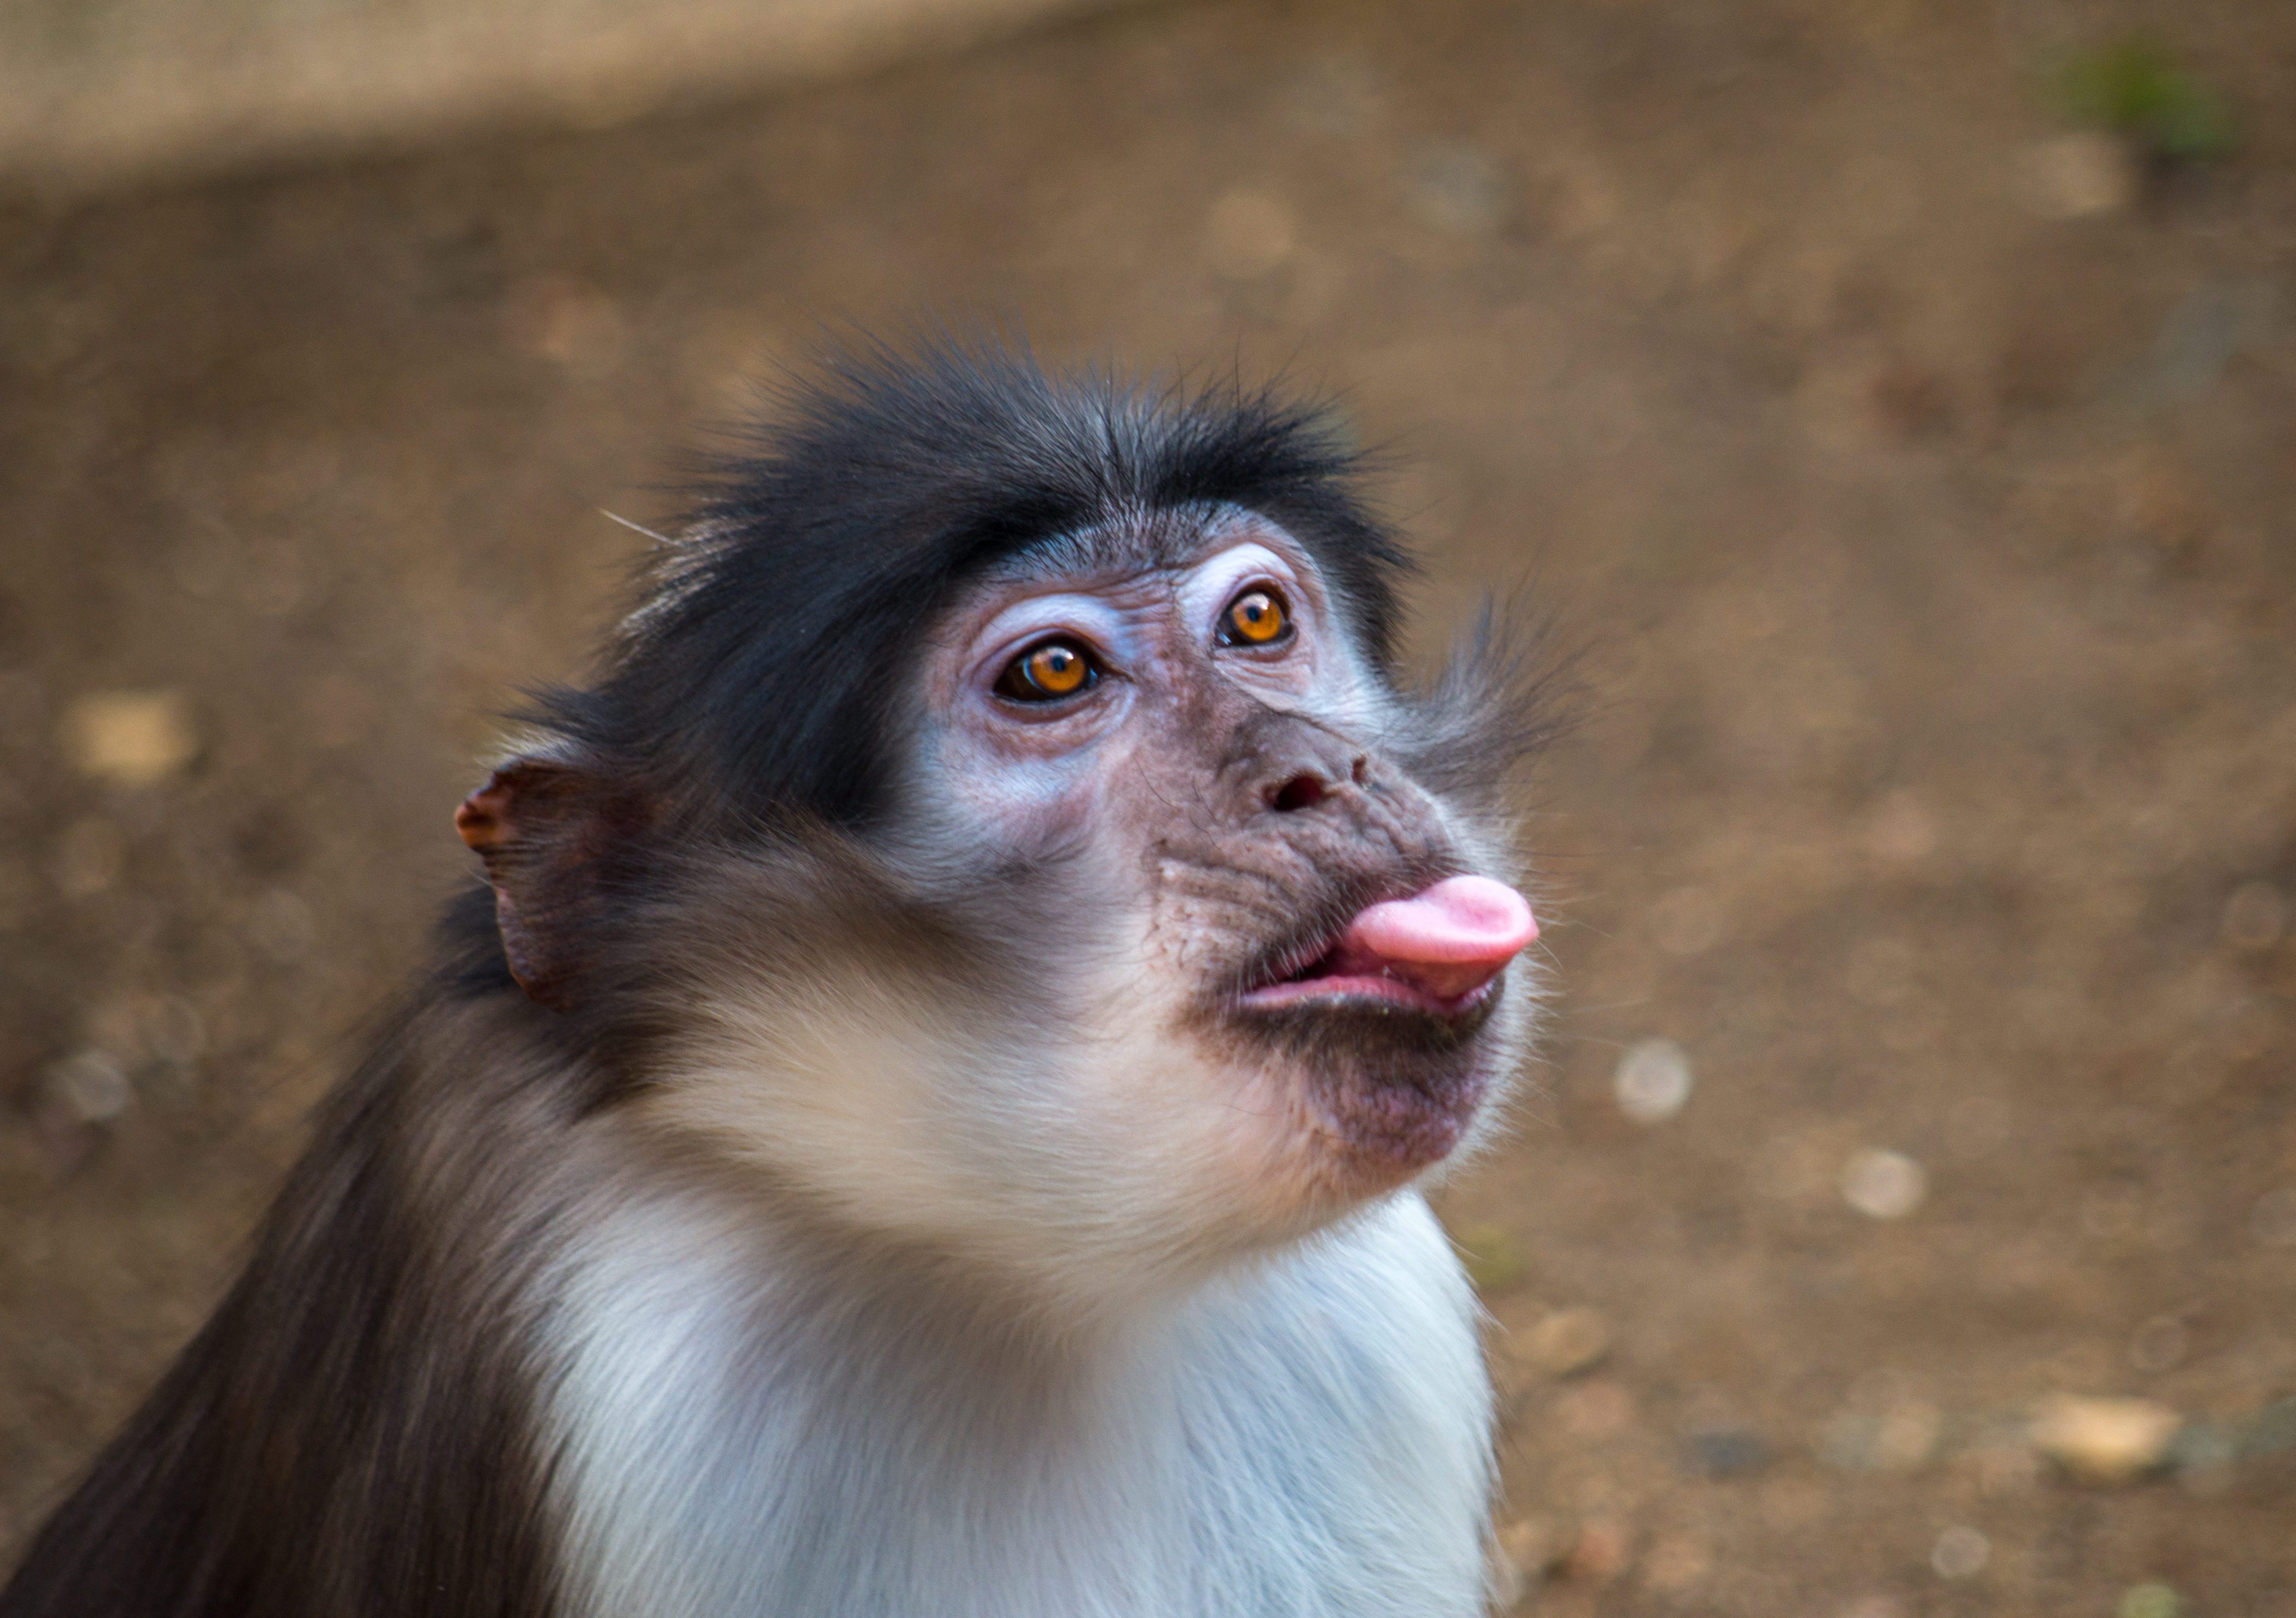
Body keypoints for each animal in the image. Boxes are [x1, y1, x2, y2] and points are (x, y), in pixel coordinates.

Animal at [0, 344, 1570, 1615]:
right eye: (1054, 672)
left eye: (1255, 622)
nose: (1323, 771)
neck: (1002, 1264)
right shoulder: (623, 1373)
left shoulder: (1366, 1339)